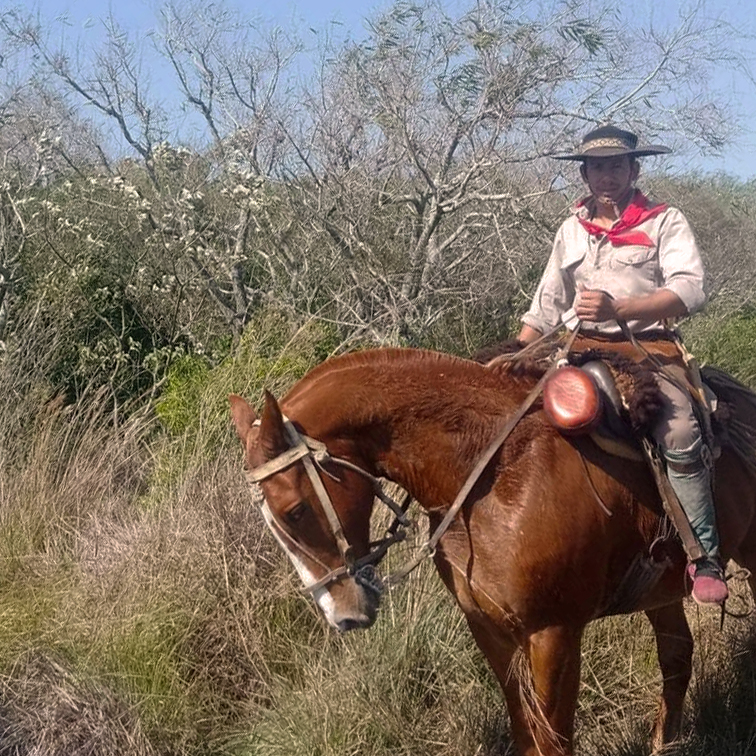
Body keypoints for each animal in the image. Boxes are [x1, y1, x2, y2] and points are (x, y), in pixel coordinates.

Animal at [229, 348, 756, 756]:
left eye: (294, 510)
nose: (343, 615)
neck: (494, 475)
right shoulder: (489, 630)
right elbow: (525, 733)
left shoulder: (553, 634)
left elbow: (553, 740)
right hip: (661, 591)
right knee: (677, 659)